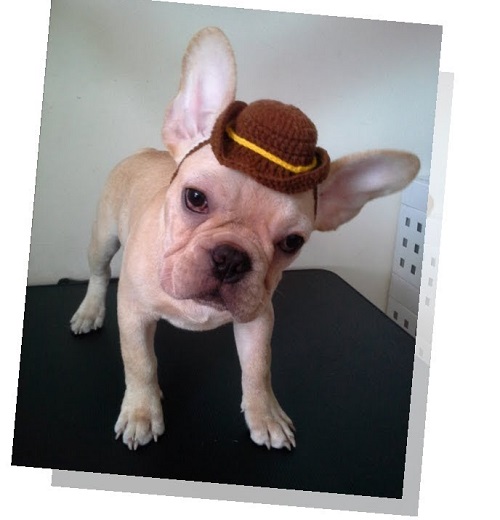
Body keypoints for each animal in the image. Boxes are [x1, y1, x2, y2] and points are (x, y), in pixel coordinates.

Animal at [70, 27, 420, 451]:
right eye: (195, 198)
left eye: (292, 242)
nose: (231, 258)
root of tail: (146, 151)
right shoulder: (133, 313)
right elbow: (140, 363)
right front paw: (141, 411)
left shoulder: (259, 320)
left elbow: (258, 369)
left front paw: (264, 415)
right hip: (103, 237)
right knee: (99, 272)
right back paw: (89, 311)